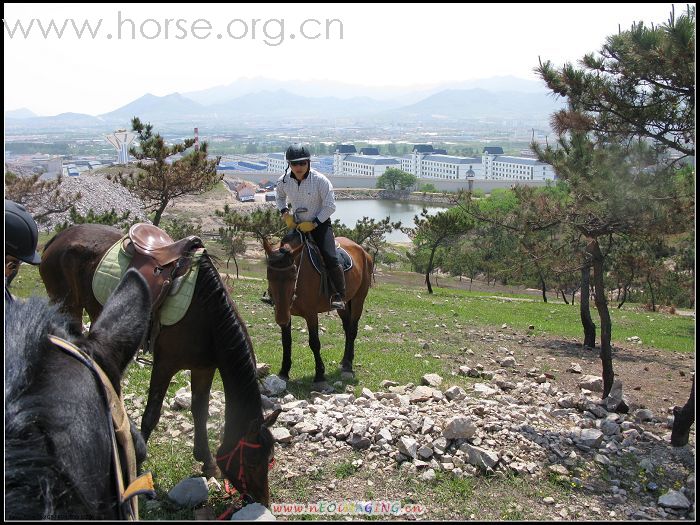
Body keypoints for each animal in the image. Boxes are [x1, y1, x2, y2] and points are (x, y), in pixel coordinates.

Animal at [39, 223, 280, 506]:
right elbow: (152, 414)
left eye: (270, 458)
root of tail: (60, 236)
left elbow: (200, 411)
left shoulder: (204, 368)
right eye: (252, 462)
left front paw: (207, 462)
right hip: (68, 307)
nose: (261, 500)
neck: (206, 316)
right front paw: (138, 464)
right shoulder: (165, 365)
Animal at [262, 229, 372, 388]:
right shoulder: (286, 312)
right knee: (347, 328)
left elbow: (314, 343)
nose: (281, 318)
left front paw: (320, 376)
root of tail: (364, 252)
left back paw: (348, 367)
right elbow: (286, 341)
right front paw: (284, 372)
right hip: (344, 305)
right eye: (269, 275)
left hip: (358, 299)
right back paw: (345, 361)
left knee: (352, 330)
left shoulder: (311, 314)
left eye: (293, 276)